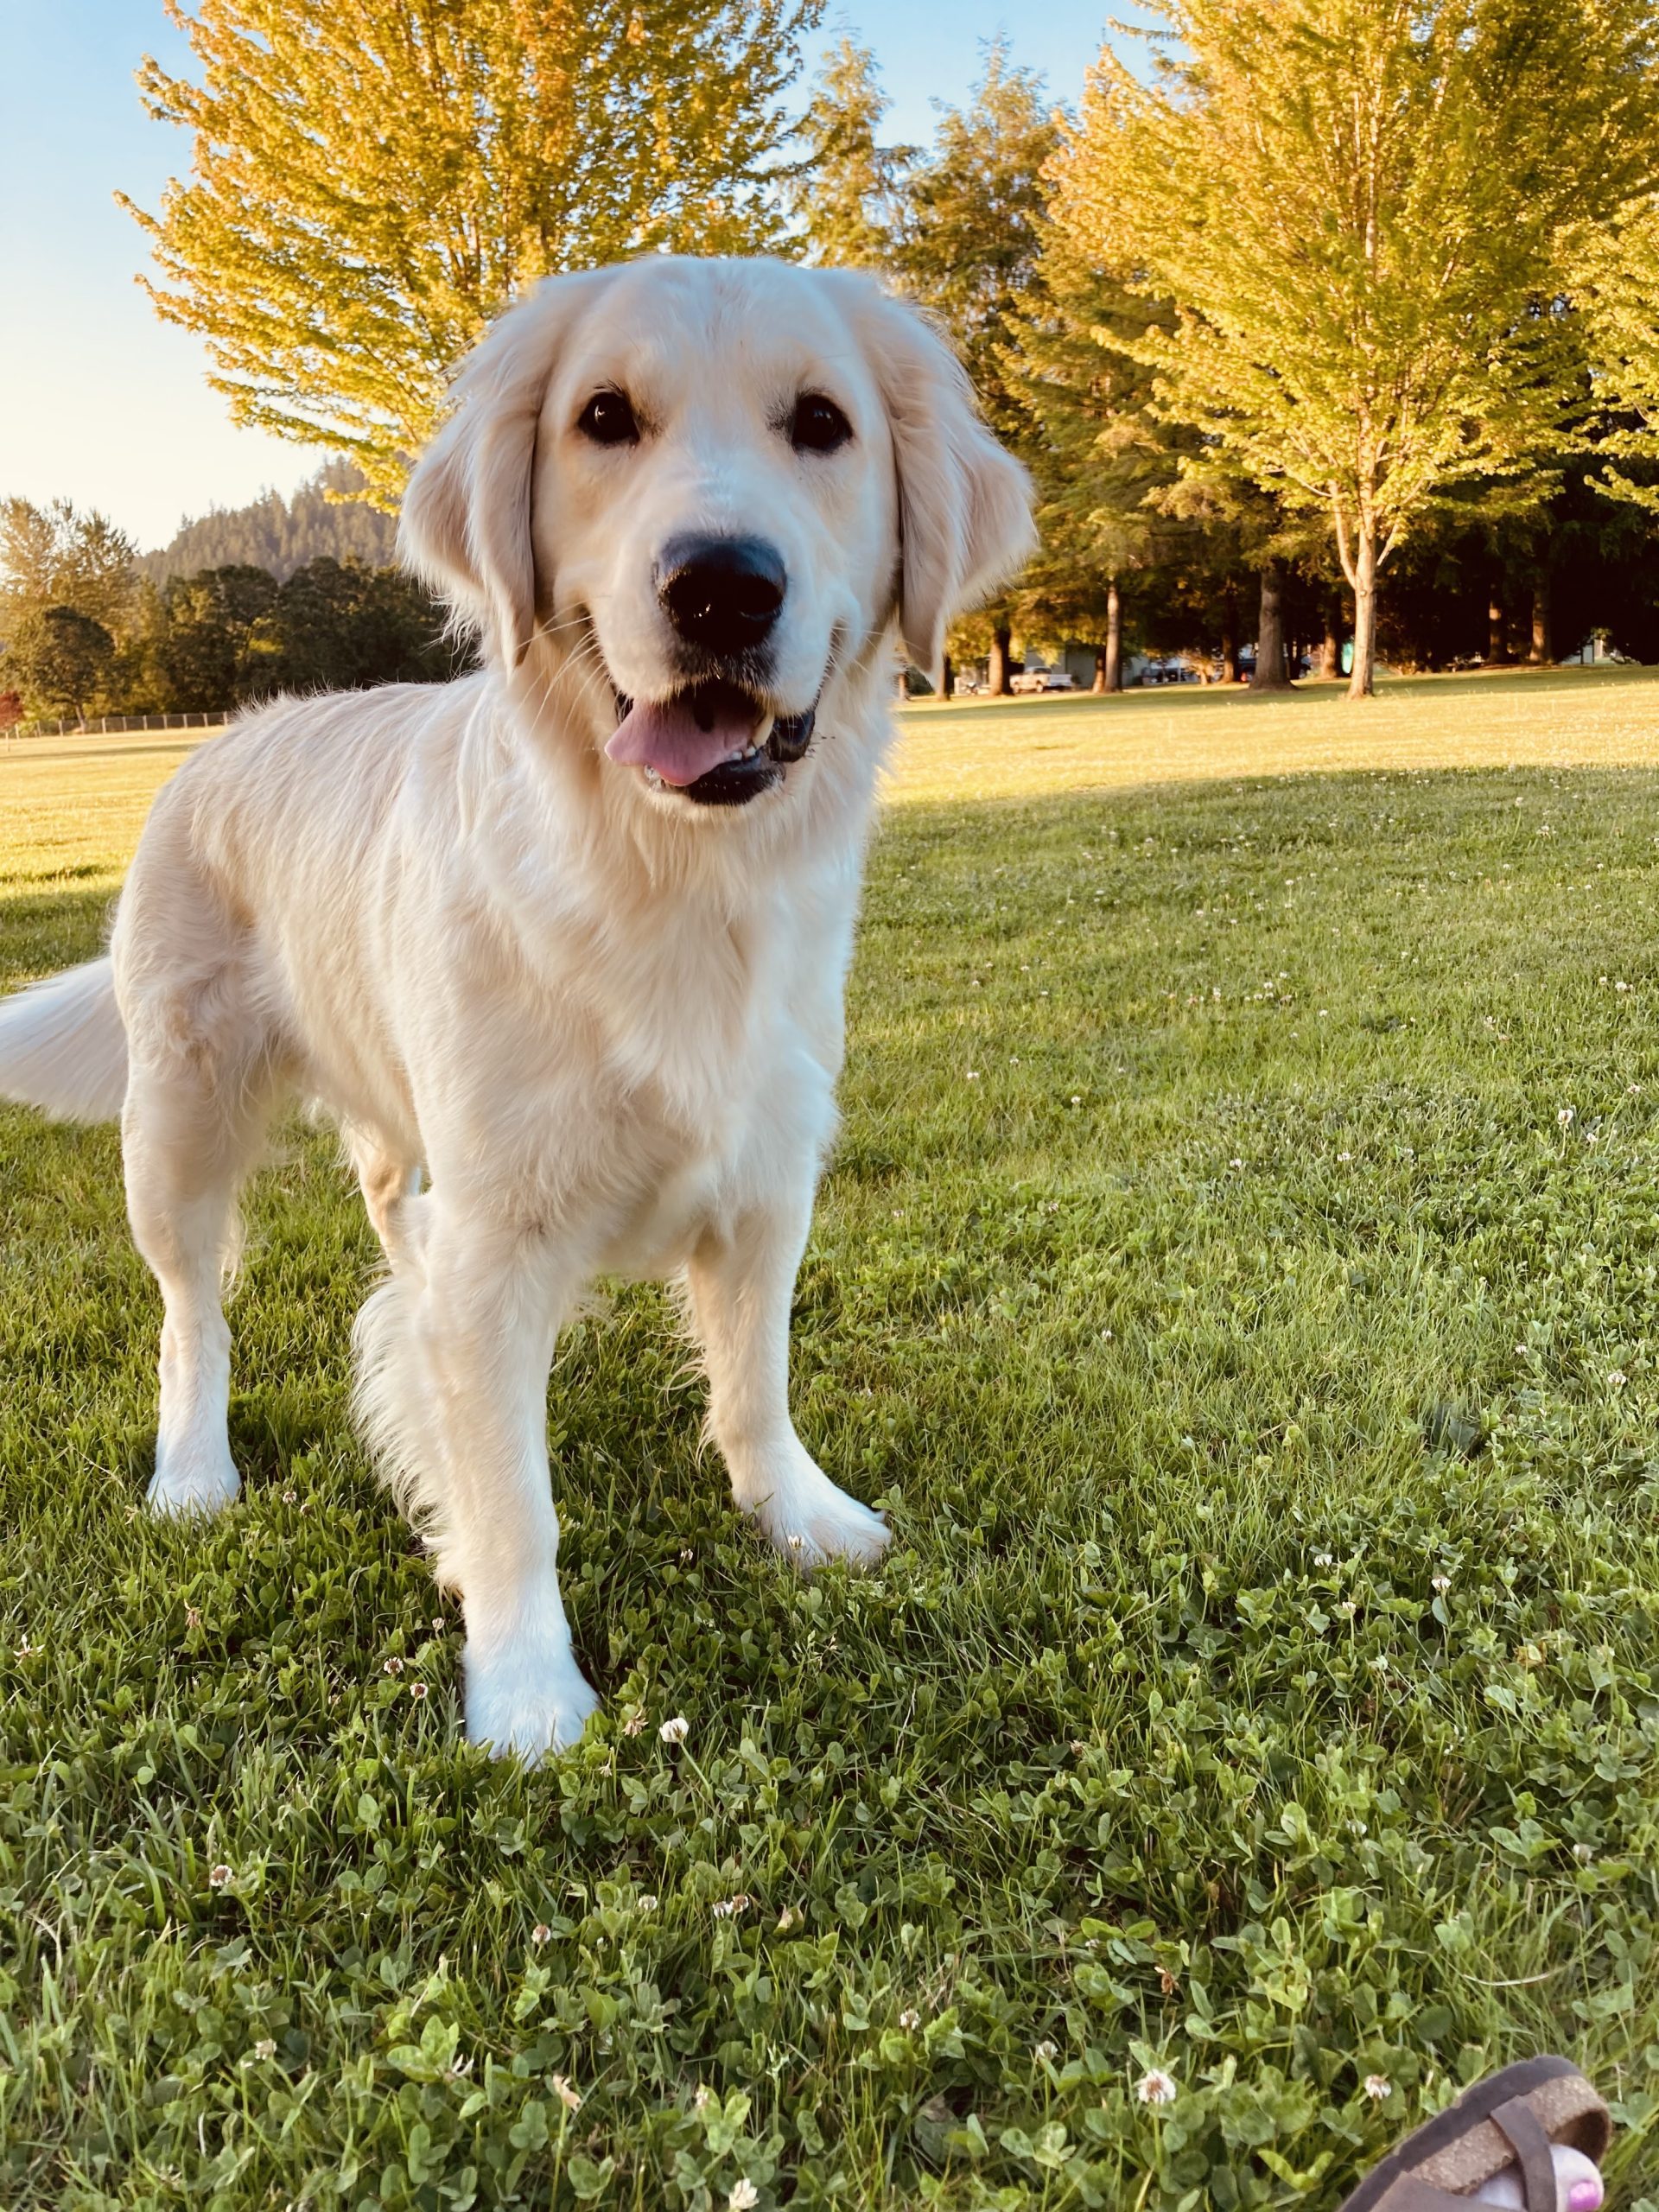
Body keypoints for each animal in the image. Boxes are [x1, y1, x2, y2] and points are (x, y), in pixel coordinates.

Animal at [0, 251, 1035, 1751]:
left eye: (823, 425)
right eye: (604, 418)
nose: (721, 586)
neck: (665, 876)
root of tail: (229, 734)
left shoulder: (769, 1179)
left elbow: (756, 1383)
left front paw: (798, 1515)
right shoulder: (493, 1246)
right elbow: (509, 1496)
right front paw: (529, 1691)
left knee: (387, 1215)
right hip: (178, 1117)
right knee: (192, 1310)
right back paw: (193, 1469)